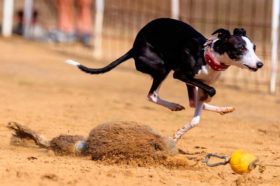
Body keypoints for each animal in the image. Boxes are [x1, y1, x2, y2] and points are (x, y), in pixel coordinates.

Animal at [65, 18, 262, 141]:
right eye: (240, 48)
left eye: (254, 47)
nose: (260, 64)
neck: (207, 55)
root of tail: (134, 47)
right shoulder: (181, 75)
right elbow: (210, 92)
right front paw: (179, 133)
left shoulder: (199, 83)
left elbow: (196, 116)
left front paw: (181, 132)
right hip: (162, 68)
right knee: (152, 95)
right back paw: (174, 105)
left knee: (191, 102)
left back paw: (222, 109)